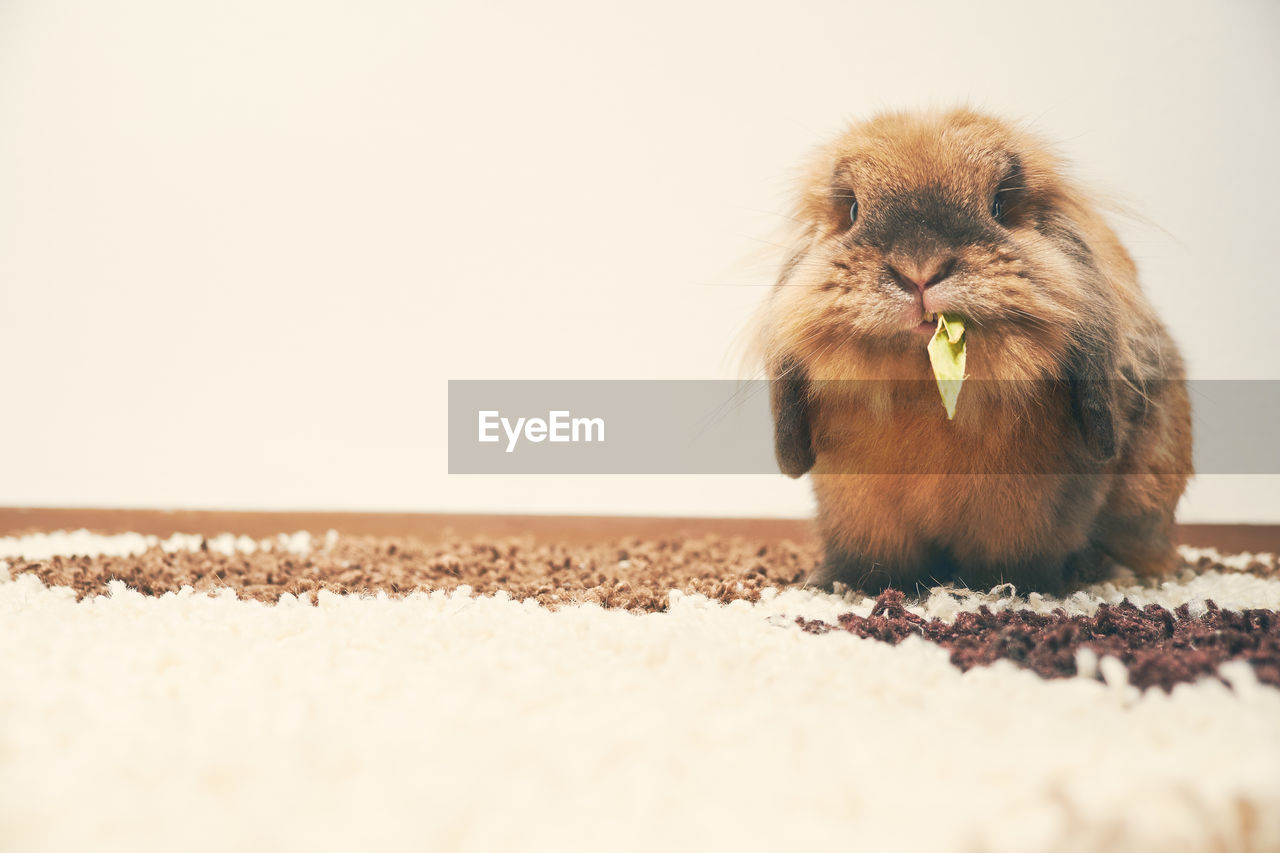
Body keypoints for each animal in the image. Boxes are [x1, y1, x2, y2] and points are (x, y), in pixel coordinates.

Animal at [757, 108, 1187, 591]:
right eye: (851, 210)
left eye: (998, 205)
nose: (919, 269)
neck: (926, 402)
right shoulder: (855, 507)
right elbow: (869, 556)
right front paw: (838, 584)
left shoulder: (1030, 513)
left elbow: (1018, 559)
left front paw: (1007, 589)